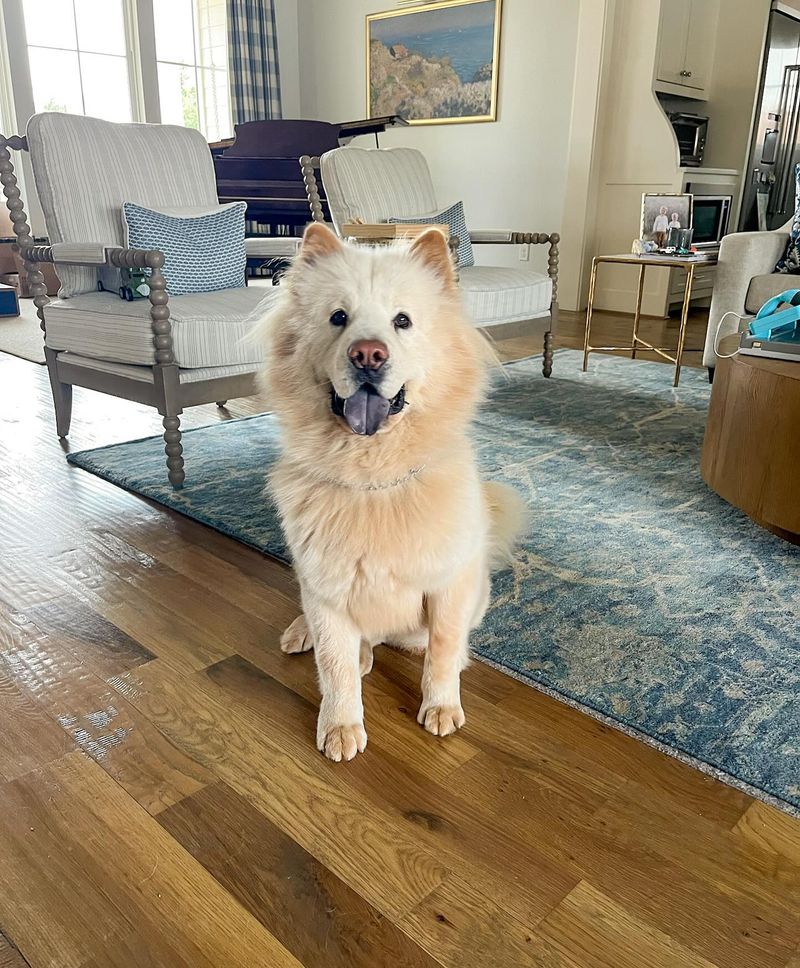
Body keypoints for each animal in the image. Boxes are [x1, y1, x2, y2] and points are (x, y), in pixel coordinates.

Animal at [262, 223, 526, 761]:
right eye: (338, 318)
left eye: (402, 321)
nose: (368, 354)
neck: (373, 481)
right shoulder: (326, 592)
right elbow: (335, 667)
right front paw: (340, 727)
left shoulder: (447, 589)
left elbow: (441, 651)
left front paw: (441, 707)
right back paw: (306, 635)